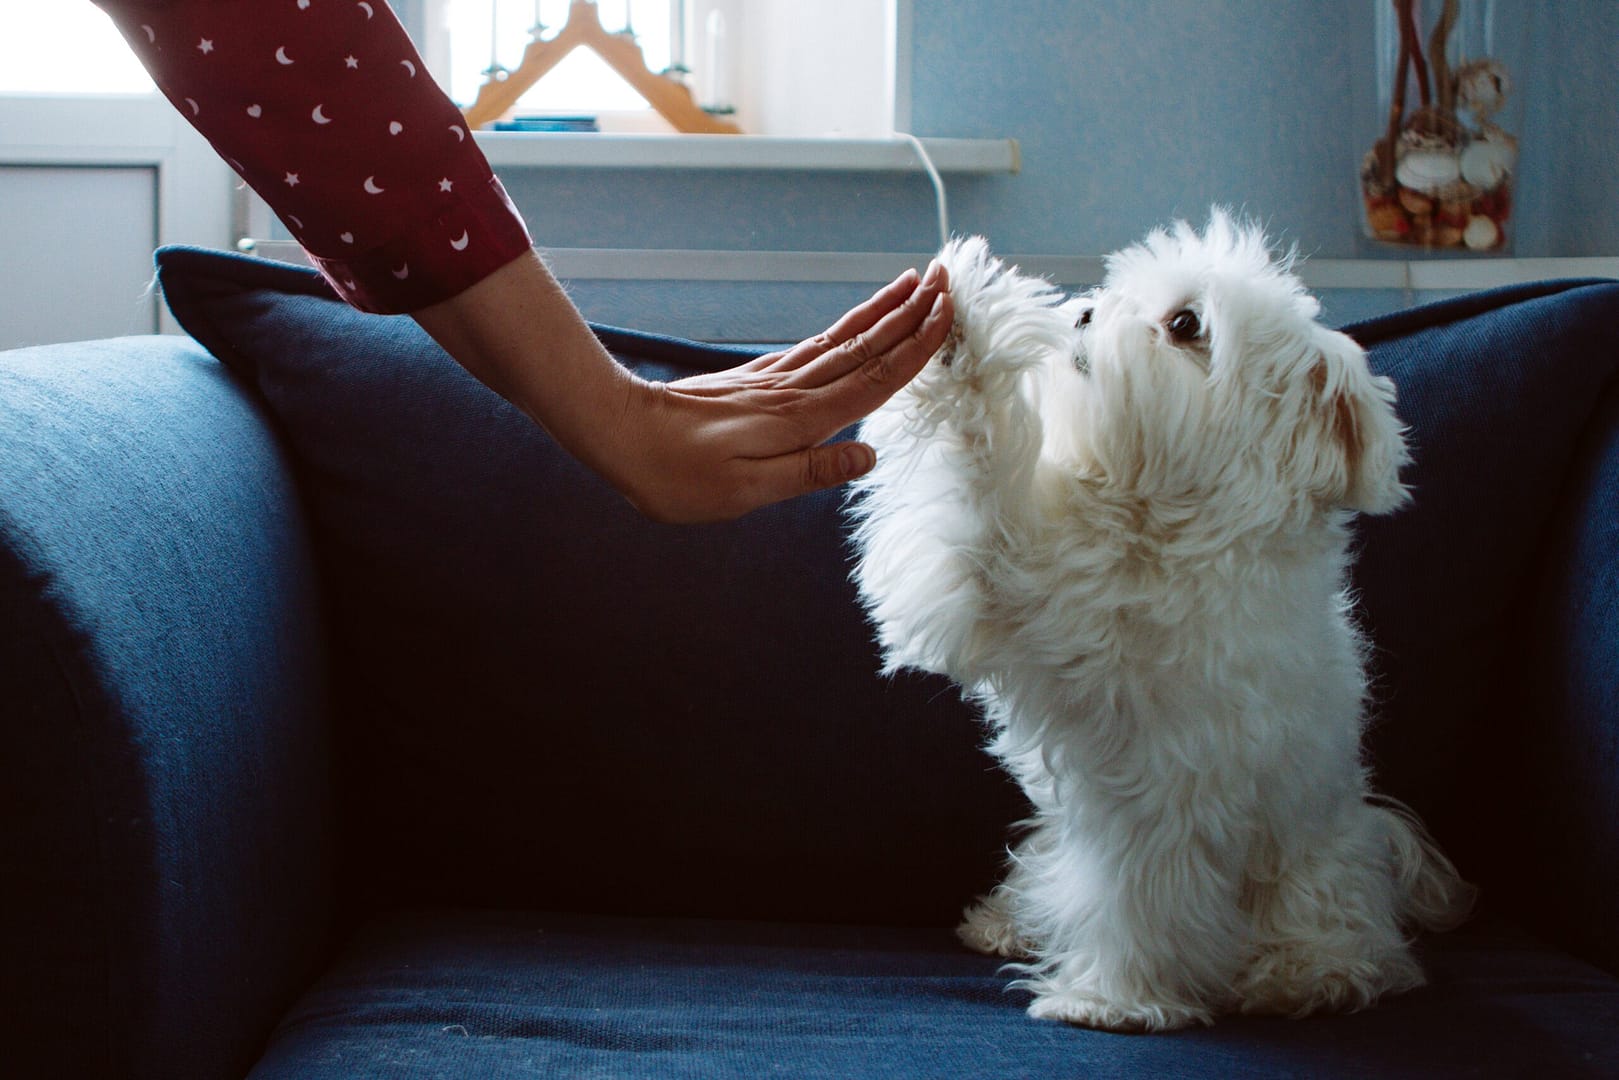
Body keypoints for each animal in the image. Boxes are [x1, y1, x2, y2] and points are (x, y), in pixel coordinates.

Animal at [854, 208, 1476, 1029]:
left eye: (1185, 325)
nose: (1084, 312)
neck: (1157, 528)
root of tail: (1378, 835)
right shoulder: (1007, 574)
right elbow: (979, 461)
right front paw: (958, 326)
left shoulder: (1171, 791)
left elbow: (1143, 902)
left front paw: (1113, 999)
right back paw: (1004, 923)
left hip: (1308, 868)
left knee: (1339, 933)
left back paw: (1304, 976)